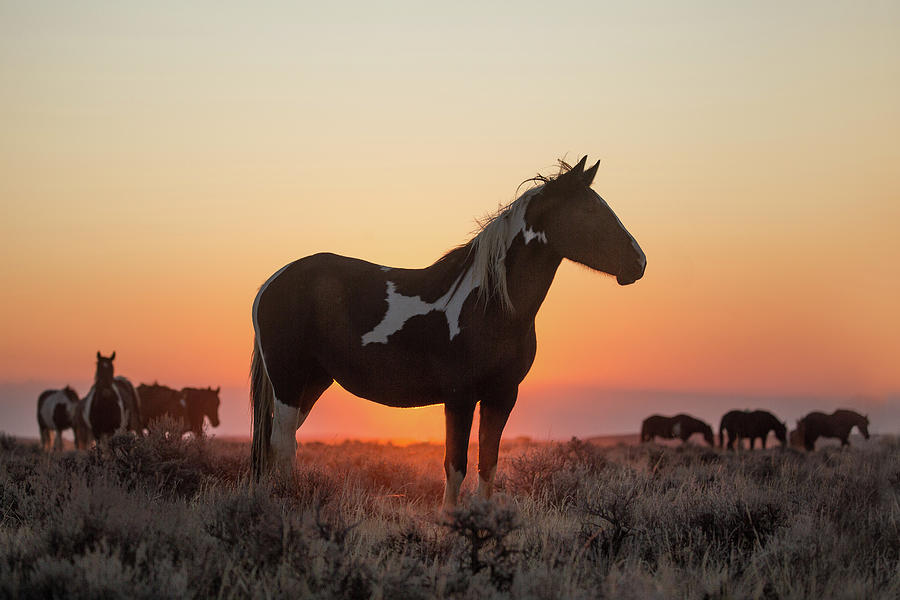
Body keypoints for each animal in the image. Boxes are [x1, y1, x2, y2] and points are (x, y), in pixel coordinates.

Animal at [253, 157, 648, 508]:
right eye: (591, 210)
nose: (639, 262)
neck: (490, 304)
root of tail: (273, 282)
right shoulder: (459, 397)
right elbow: (455, 465)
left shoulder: (502, 396)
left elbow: (487, 464)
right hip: (288, 380)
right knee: (284, 443)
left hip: (313, 382)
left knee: (276, 442)